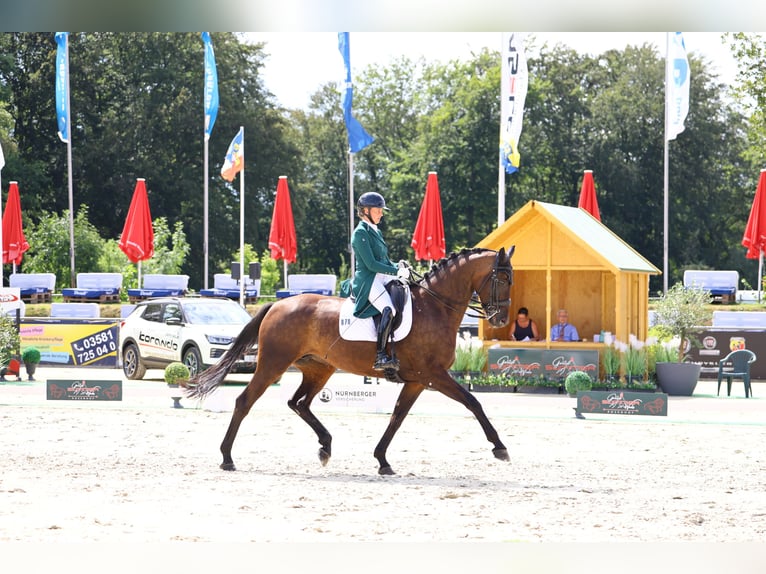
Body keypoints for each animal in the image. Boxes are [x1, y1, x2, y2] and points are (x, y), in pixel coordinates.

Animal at [188, 248, 516, 476]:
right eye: (502, 279)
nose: (500, 319)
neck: (435, 306)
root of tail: (277, 305)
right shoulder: (434, 374)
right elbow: (473, 402)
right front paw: (500, 448)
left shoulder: (417, 380)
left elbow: (397, 417)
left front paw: (382, 460)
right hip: (273, 364)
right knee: (245, 401)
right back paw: (227, 458)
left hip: (319, 368)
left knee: (299, 403)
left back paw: (325, 446)